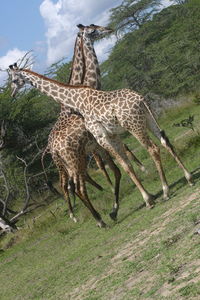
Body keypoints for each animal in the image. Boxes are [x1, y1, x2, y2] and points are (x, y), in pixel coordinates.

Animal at [9, 64, 194, 224]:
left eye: (13, 80)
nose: (12, 95)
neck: (77, 101)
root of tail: (141, 98)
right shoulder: (111, 136)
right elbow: (124, 165)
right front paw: (141, 199)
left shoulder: (102, 137)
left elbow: (123, 167)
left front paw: (147, 200)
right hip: (148, 119)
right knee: (165, 142)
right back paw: (189, 178)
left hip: (133, 125)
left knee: (153, 149)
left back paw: (165, 191)